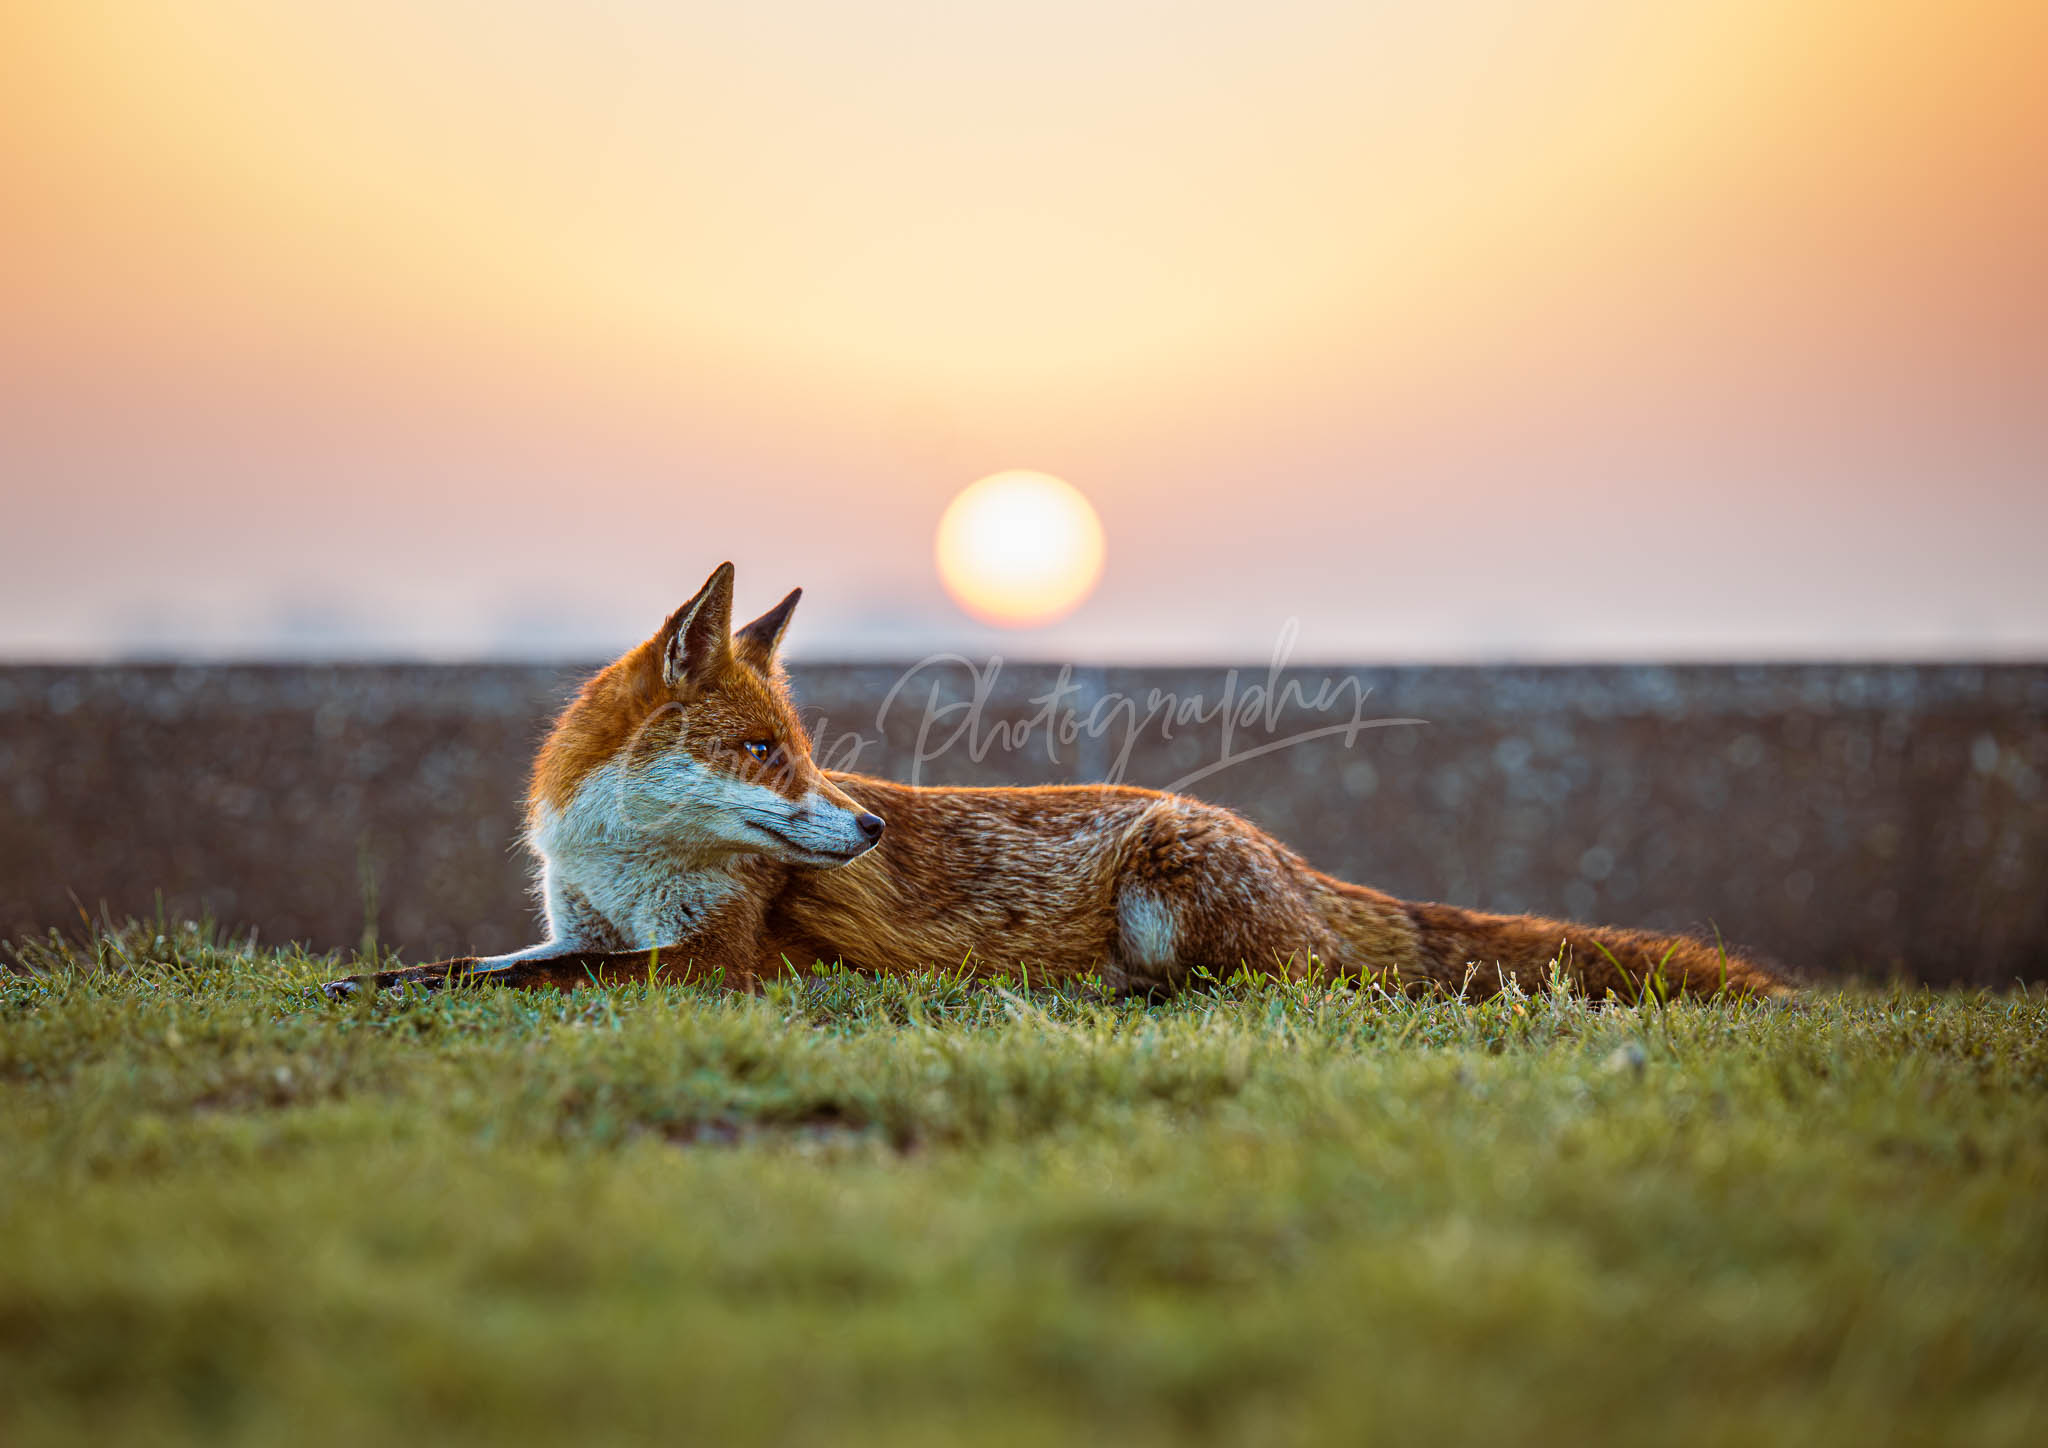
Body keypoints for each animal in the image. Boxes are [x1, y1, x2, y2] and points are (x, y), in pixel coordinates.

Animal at [326, 562, 1793, 1002]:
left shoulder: (707, 964)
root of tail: (1291, 852)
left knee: (1293, 986)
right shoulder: (573, 927)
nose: (865, 824)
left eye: (803, 752)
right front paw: (367, 982)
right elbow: (476, 966)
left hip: (1171, 885)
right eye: (762, 752)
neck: (622, 865)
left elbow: (551, 982)